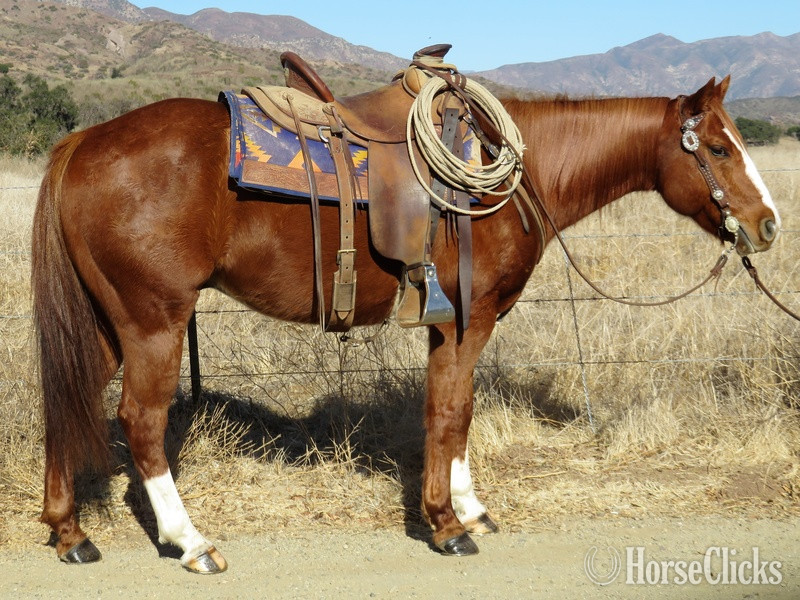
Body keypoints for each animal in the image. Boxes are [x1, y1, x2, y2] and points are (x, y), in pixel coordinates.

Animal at [31, 74, 780, 573]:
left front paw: (468, 505)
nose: (769, 225)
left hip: (106, 324)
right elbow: (448, 412)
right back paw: (190, 542)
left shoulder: (456, 324)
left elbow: (461, 409)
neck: (511, 177)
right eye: (717, 149)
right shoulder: (468, 320)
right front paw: (445, 523)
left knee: (68, 406)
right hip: (153, 321)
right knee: (141, 421)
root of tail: (82, 140)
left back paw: (70, 533)